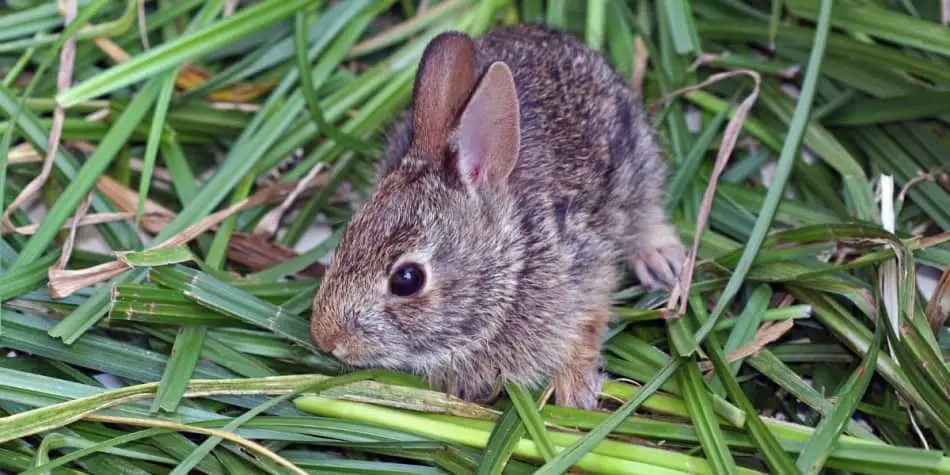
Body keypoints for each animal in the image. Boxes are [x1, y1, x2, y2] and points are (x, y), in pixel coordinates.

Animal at [310, 24, 684, 410]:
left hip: (638, 163)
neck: (514, 264)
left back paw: (661, 262)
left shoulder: (586, 273)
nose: (325, 337)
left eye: (407, 279)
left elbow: (587, 327)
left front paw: (575, 393)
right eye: (348, 234)